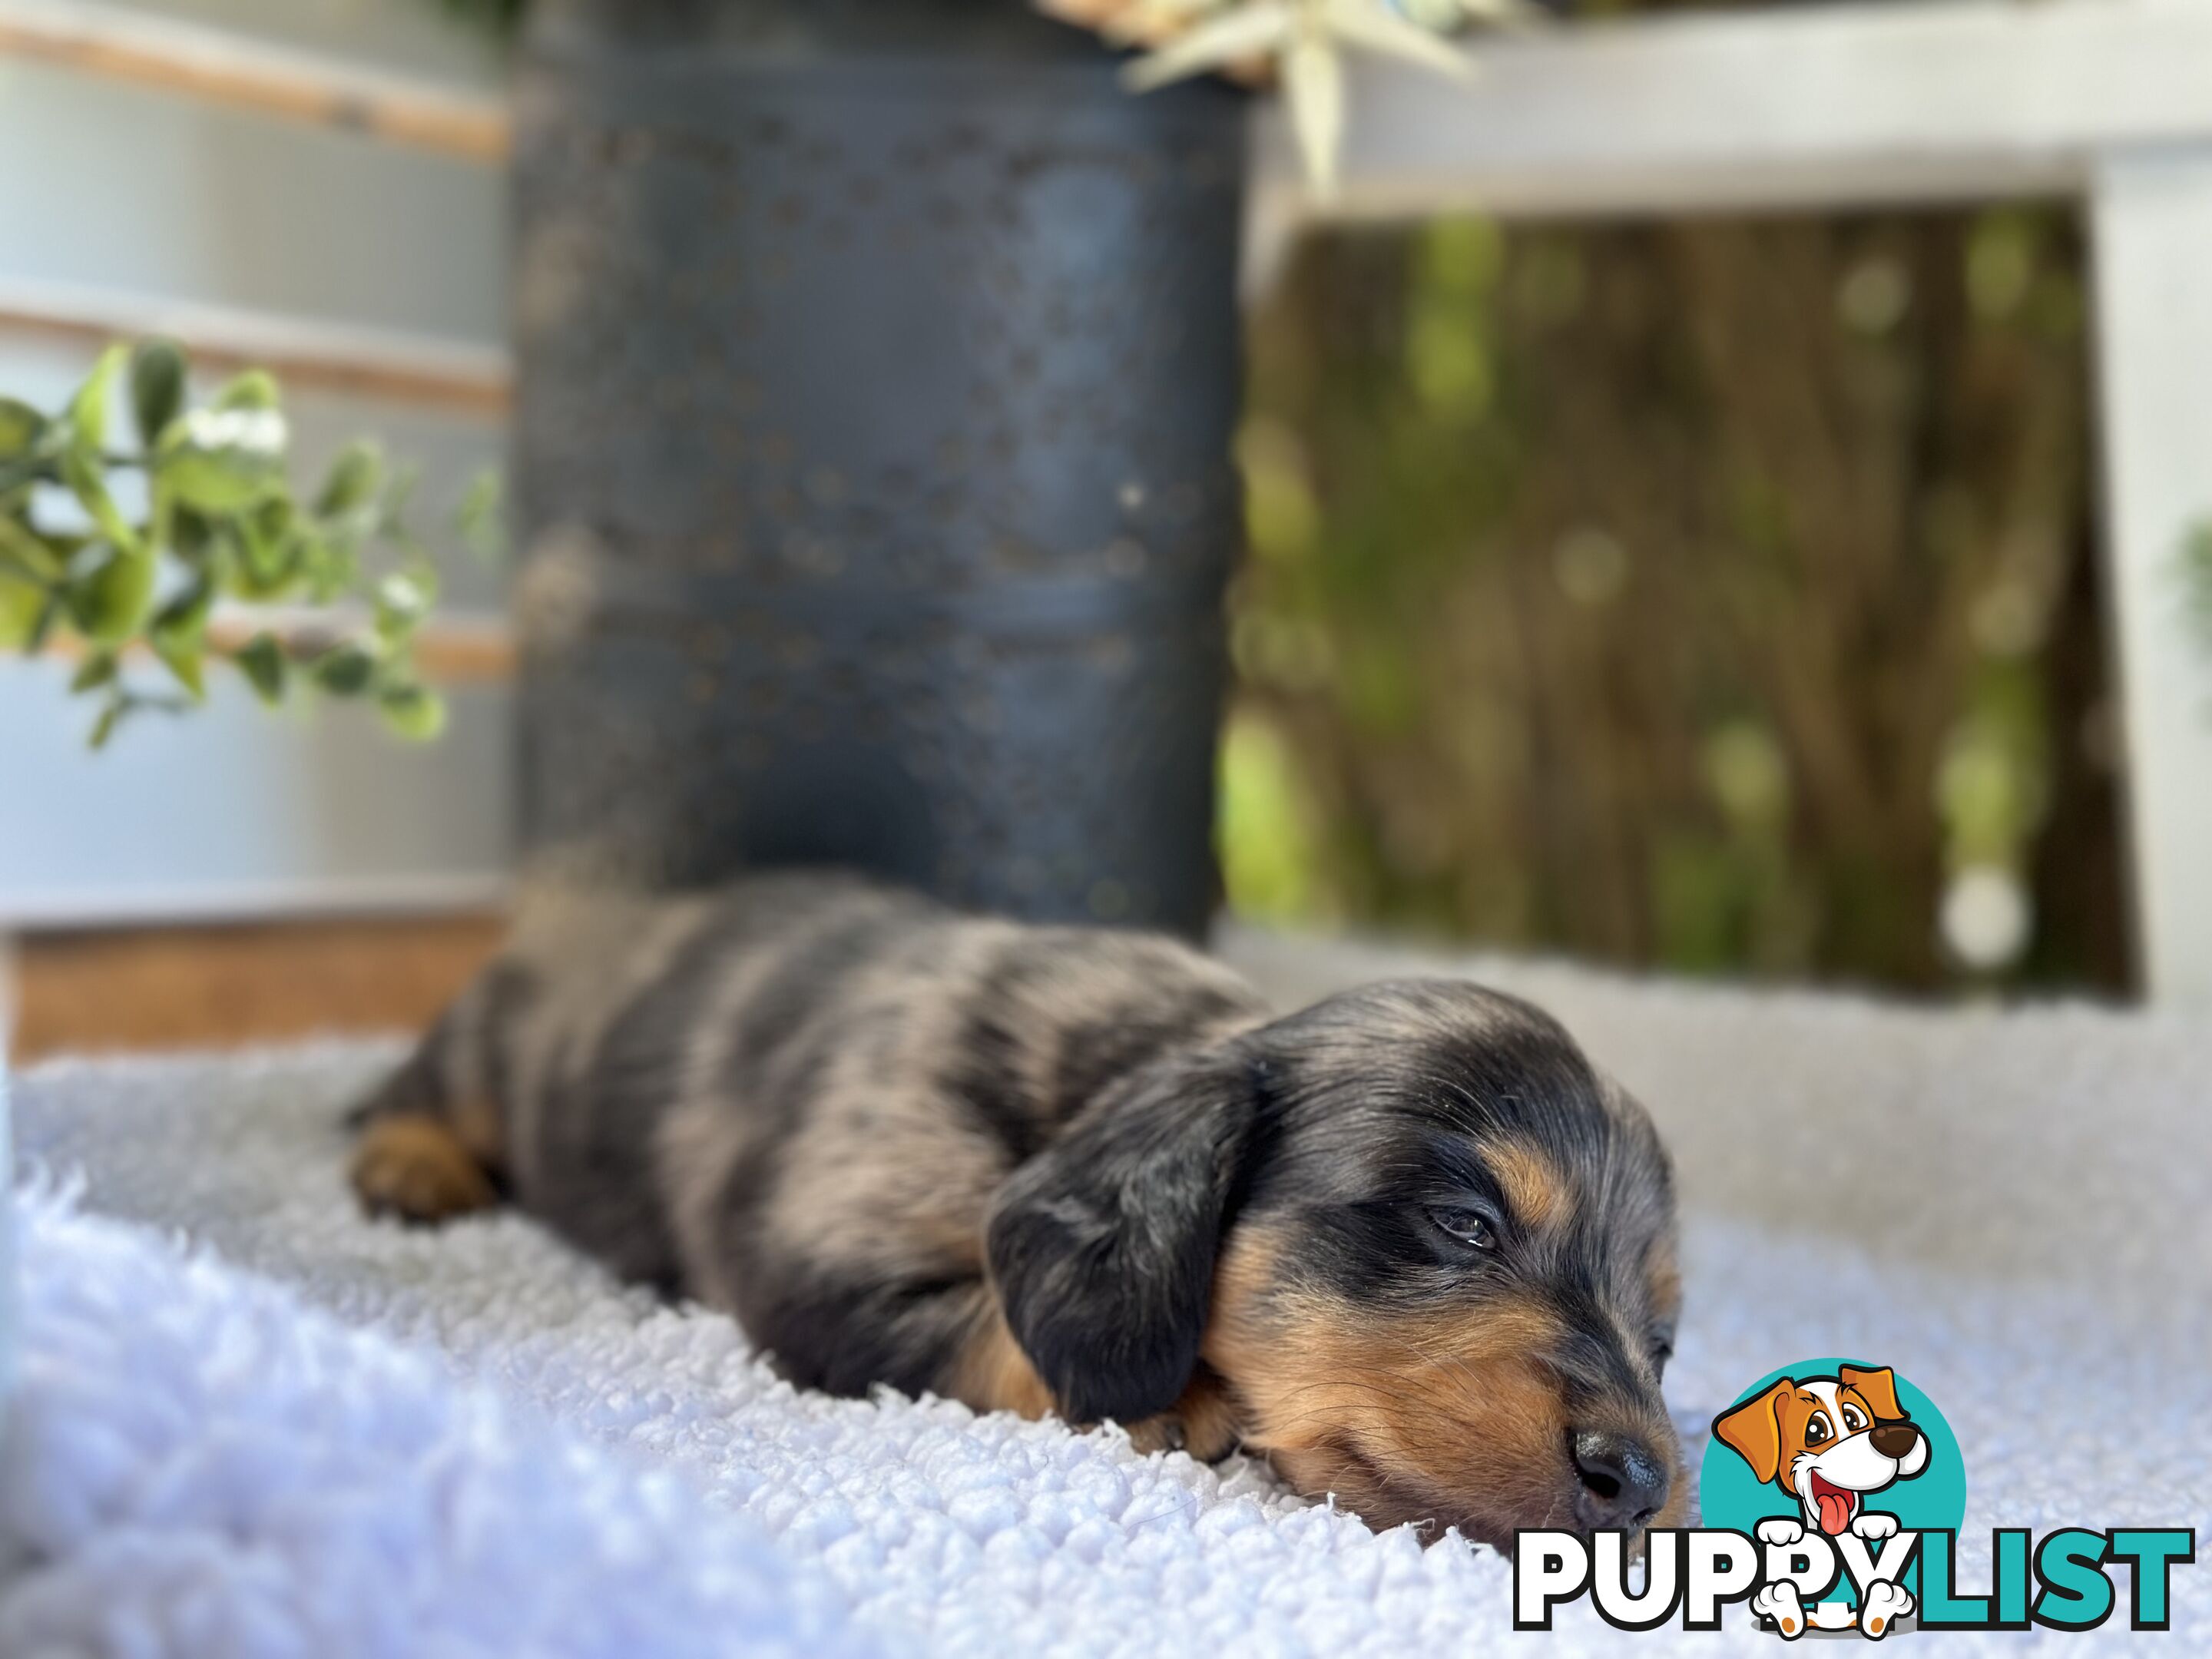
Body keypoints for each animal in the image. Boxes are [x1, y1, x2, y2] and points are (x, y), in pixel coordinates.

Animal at [353, 876, 1681, 1557]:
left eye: (1664, 1339)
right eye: (1465, 1225)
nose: (1645, 1483)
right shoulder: (827, 1263)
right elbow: (998, 1329)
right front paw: (1179, 1396)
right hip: (490, 1047)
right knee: (409, 1091)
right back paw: (410, 1165)